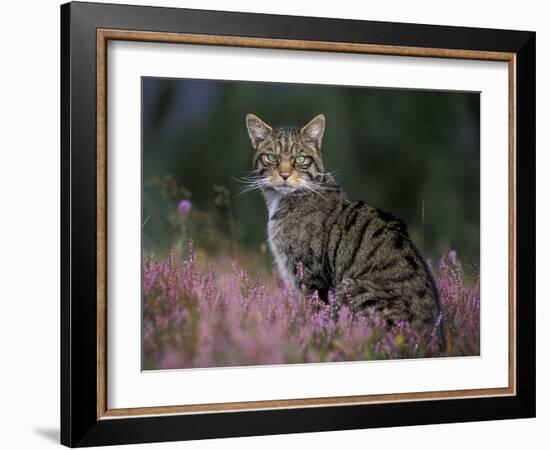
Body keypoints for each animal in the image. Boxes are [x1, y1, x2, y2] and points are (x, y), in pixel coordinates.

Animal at [245, 112, 444, 342]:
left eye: (300, 159)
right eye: (272, 157)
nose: (284, 174)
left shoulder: (312, 278)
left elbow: (313, 315)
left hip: (351, 288)